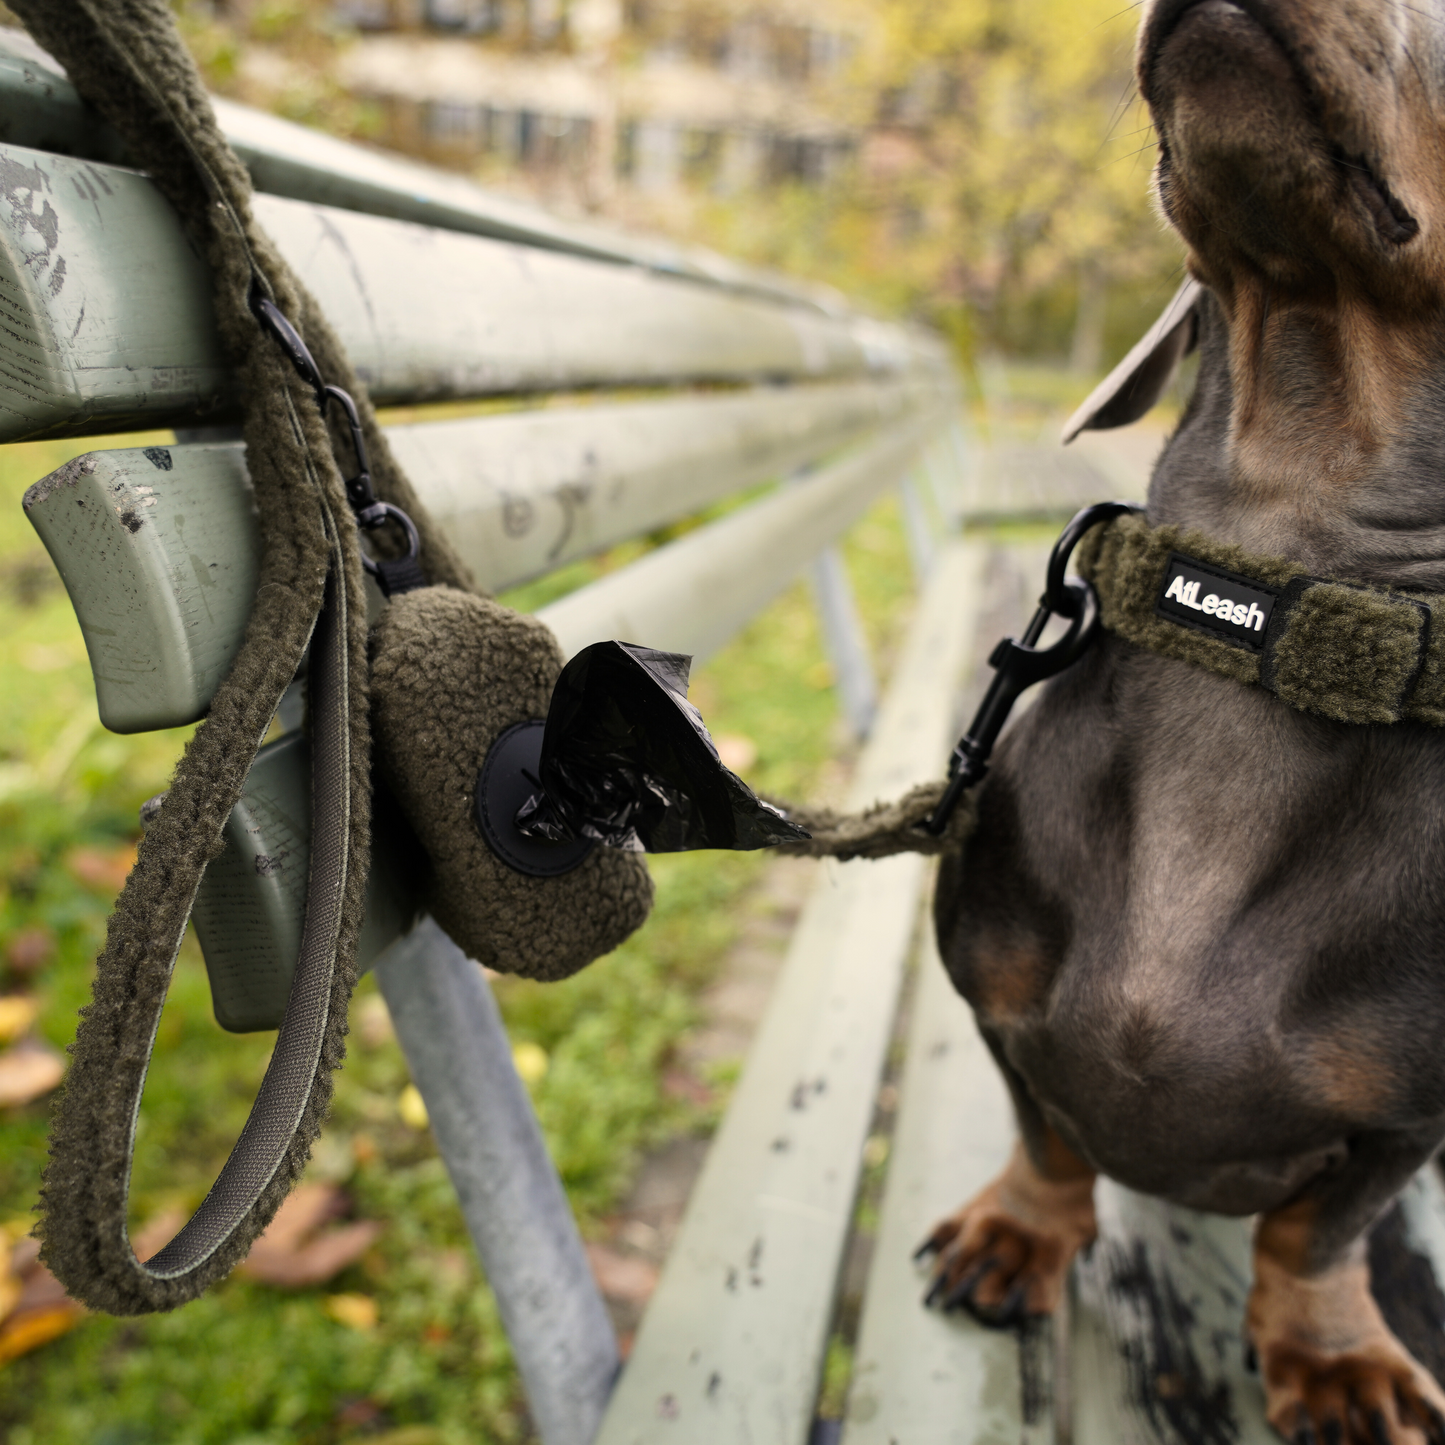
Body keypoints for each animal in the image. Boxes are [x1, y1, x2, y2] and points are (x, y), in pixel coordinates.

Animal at [924, 5, 1445, 1439]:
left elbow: (1317, 1232)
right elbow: (1046, 1134)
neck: (1273, 605)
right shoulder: (992, 989)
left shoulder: (1402, 1125)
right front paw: (1021, 1230)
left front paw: (1331, 1352)